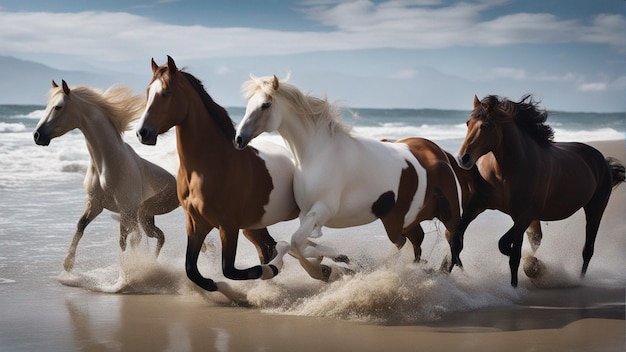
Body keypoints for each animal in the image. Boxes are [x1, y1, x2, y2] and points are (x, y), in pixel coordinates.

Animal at [33, 81, 178, 270]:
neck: (107, 164)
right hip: (146, 218)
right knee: (159, 236)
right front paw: (68, 263)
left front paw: (127, 270)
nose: (37, 135)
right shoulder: (95, 203)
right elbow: (81, 225)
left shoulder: (126, 210)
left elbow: (125, 241)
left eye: (58, 107)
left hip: (144, 215)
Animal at [135, 57, 300, 294]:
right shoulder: (196, 223)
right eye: (148, 91)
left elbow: (230, 269)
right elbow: (191, 269)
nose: (143, 133)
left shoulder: (228, 226)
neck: (209, 166)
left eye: (166, 92)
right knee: (268, 247)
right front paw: (215, 287)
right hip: (254, 226)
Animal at [235, 75, 468, 280]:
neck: (318, 154)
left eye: (265, 104)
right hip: (403, 219)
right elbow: (294, 245)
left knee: (448, 243)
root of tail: (439, 153)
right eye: (248, 104)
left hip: (441, 216)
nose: (239, 138)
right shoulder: (306, 215)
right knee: (414, 241)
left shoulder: (322, 210)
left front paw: (329, 267)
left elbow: (294, 243)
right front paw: (336, 261)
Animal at [454, 95, 624, 288]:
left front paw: (530, 271)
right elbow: (457, 239)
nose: (463, 158)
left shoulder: (524, 216)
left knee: (587, 250)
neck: (506, 171)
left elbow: (509, 250)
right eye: (468, 123)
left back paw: (577, 280)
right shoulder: (479, 204)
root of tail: (603, 161)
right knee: (537, 239)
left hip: (595, 209)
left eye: (486, 125)